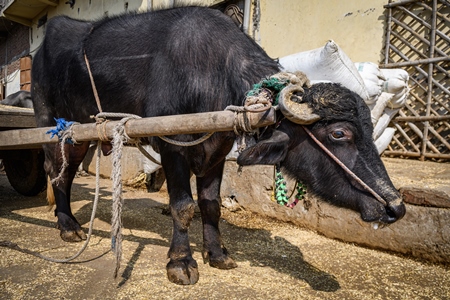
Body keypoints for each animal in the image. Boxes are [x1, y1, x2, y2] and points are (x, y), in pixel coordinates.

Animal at [30, 5, 404, 284]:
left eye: (368, 129)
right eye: (339, 134)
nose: (395, 207)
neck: (212, 73)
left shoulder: (217, 153)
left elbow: (211, 205)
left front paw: (218, 254)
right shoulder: (173, 148)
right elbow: (183, 206)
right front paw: (181, 262)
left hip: (84, 136)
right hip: (52, 125)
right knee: (57, 172)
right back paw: (68, 227)